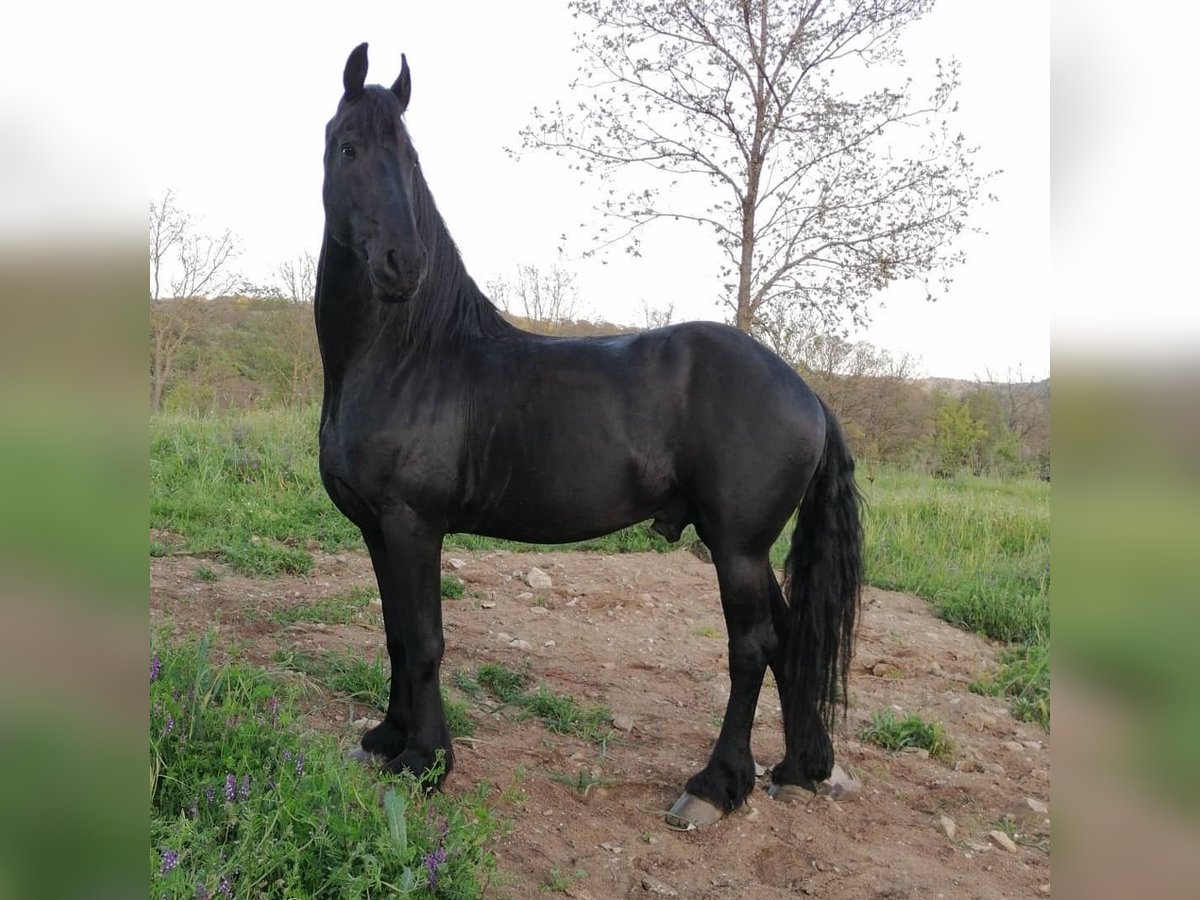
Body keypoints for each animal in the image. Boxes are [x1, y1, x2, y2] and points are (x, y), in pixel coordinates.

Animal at [315, 43, 864, 828]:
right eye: (349, 147)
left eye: (410, 158)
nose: (403, 265)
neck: (407, 354)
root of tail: (807, 391)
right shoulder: (375, 527)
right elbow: (394, 632)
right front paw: (386, 738)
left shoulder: (412, 523)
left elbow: (423, 640)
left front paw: (425, 762)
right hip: (748, 548)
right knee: (788, 641)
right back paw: (797, 768)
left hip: (737, 547)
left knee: (752, 647)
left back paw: (714, 786)